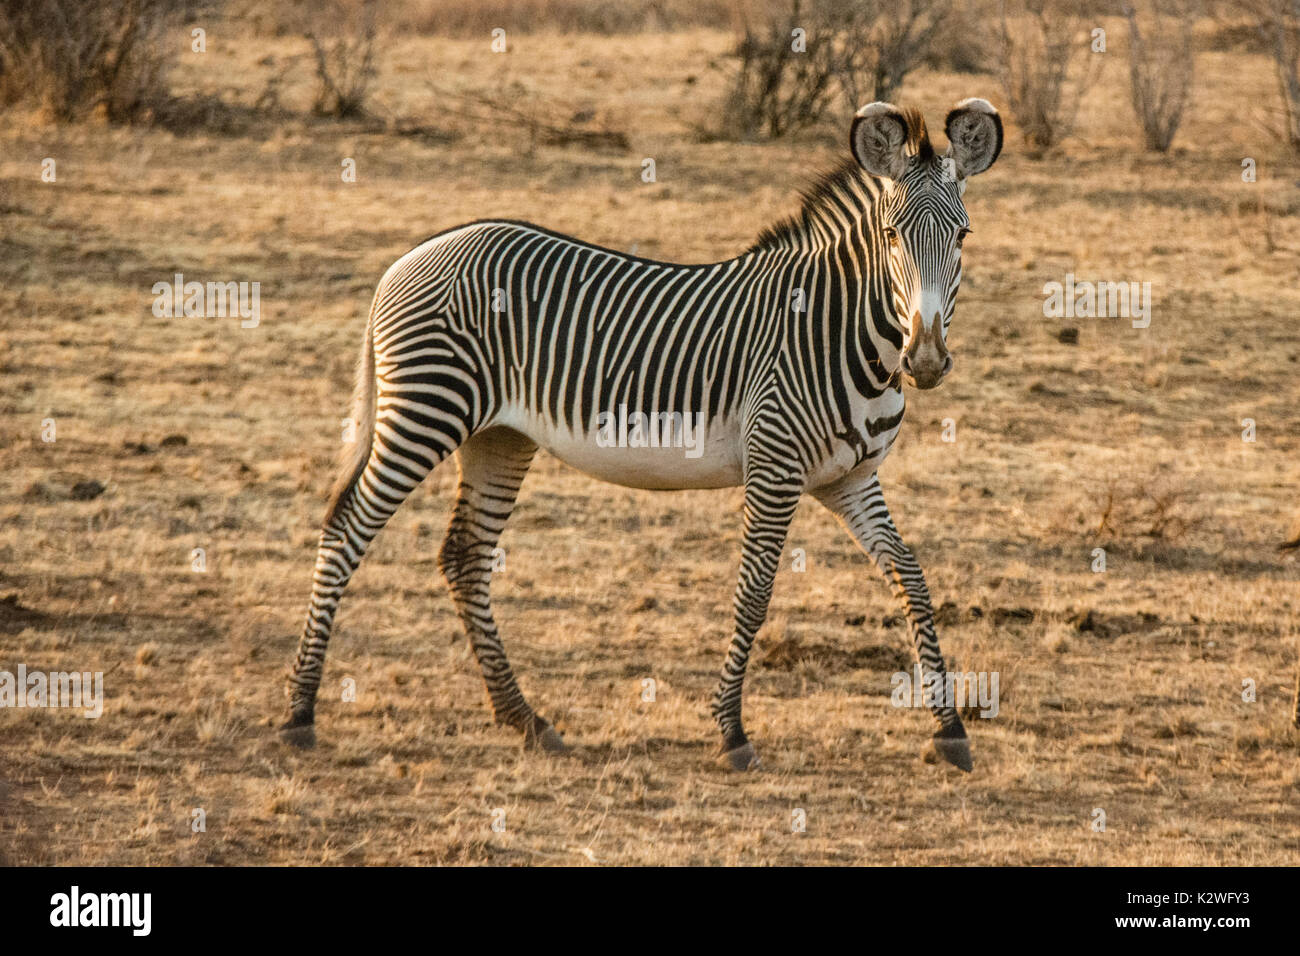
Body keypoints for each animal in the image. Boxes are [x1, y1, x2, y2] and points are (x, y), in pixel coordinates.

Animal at [279, 98, 998, 770]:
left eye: (964, 235)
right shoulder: (775, 467)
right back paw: (300, 713)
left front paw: (948, 728)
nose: (925, 359)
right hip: (425, 410)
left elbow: (912, 578)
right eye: (893, 236)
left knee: (464, 556)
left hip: (498, 437)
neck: (838, 330)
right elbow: (755, 590)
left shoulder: (850, 479)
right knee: (346, 528)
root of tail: (414, 253)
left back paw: (524, 719)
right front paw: (731, 731)